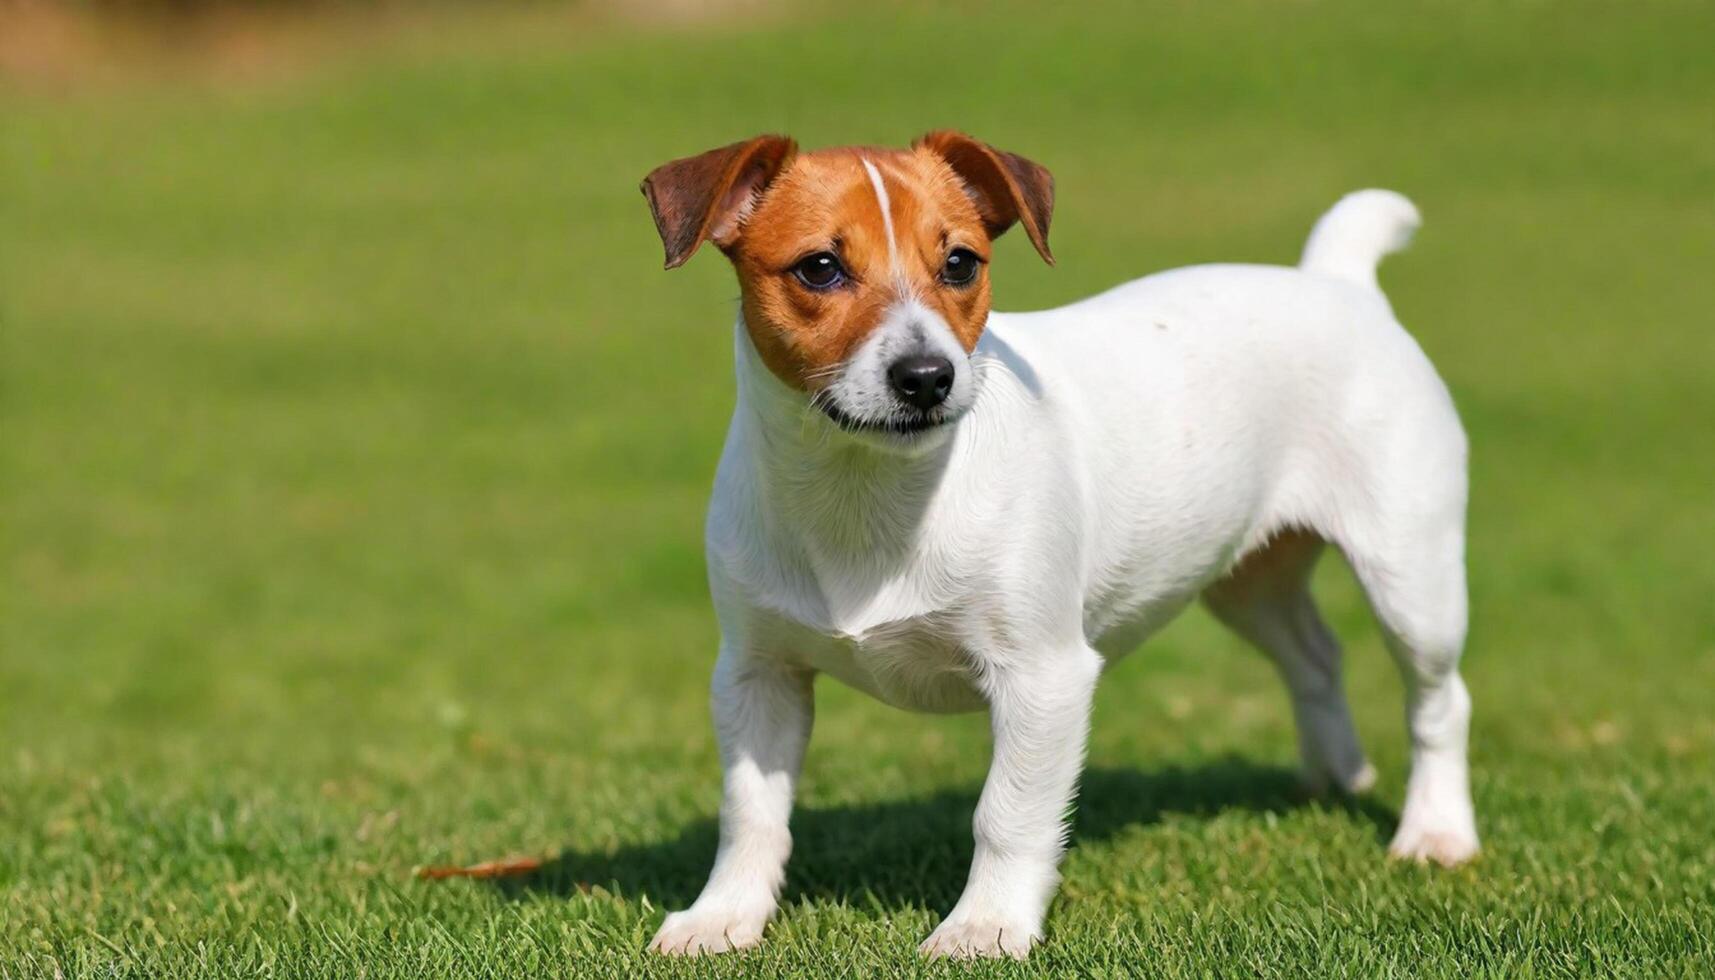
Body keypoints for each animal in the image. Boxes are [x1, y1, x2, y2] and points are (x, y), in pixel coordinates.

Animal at [637, 133, 1481, 961]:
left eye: (960, 263)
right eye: (819, 267)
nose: (926, 377)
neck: (868, 492)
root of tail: (1337, 282)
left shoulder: (1043, 676)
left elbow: (1006, 813)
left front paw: (984, 926)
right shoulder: (757, 674)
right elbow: (750, 812)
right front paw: (723, 917)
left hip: (1408, 574)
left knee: (1439, 701)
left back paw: (1435, 833)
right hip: (1246, 579)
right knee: (1314, 657)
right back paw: (1334, 777)